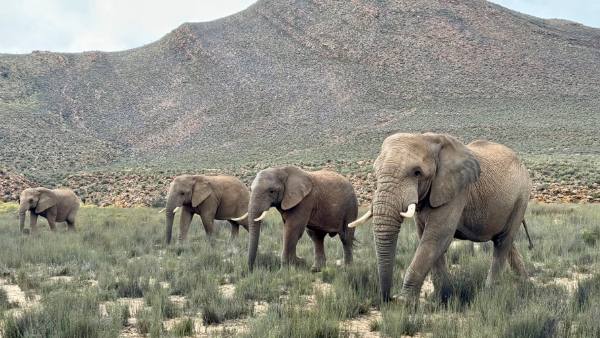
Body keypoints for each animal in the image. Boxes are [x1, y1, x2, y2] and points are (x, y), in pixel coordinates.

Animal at [350, 133, 532, 304]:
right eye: (375, 172)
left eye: (417, 172)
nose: (388, 298)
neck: (428, 139)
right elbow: (426, 237)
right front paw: (442, 297)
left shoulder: (457, 191)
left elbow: (436, 236)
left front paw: (405, 302)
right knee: (506, 242)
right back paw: (524, 284)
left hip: (522, 196)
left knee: (503, 241)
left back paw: (489, 293)